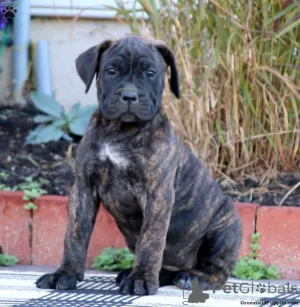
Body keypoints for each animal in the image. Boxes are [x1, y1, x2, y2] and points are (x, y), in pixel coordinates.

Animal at [35, 35, 243, 296]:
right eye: (111, 71)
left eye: (150, 73)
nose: (130, 96)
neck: (120, 131)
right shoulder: (83, 188)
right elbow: (75, 234)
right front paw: (65, 274)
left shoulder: (157, 194)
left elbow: (151, 240)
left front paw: (141, 280)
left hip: (225, 227)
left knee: (216, 270)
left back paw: (193, 277)